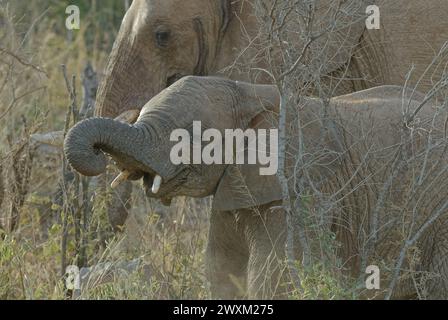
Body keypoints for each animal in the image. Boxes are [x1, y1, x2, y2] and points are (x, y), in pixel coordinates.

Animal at [64, 76, 448, 298]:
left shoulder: (301, 191)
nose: (99, 155)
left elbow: (275, 277)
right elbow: (221, 269)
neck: (249, 92)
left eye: (189, 135)